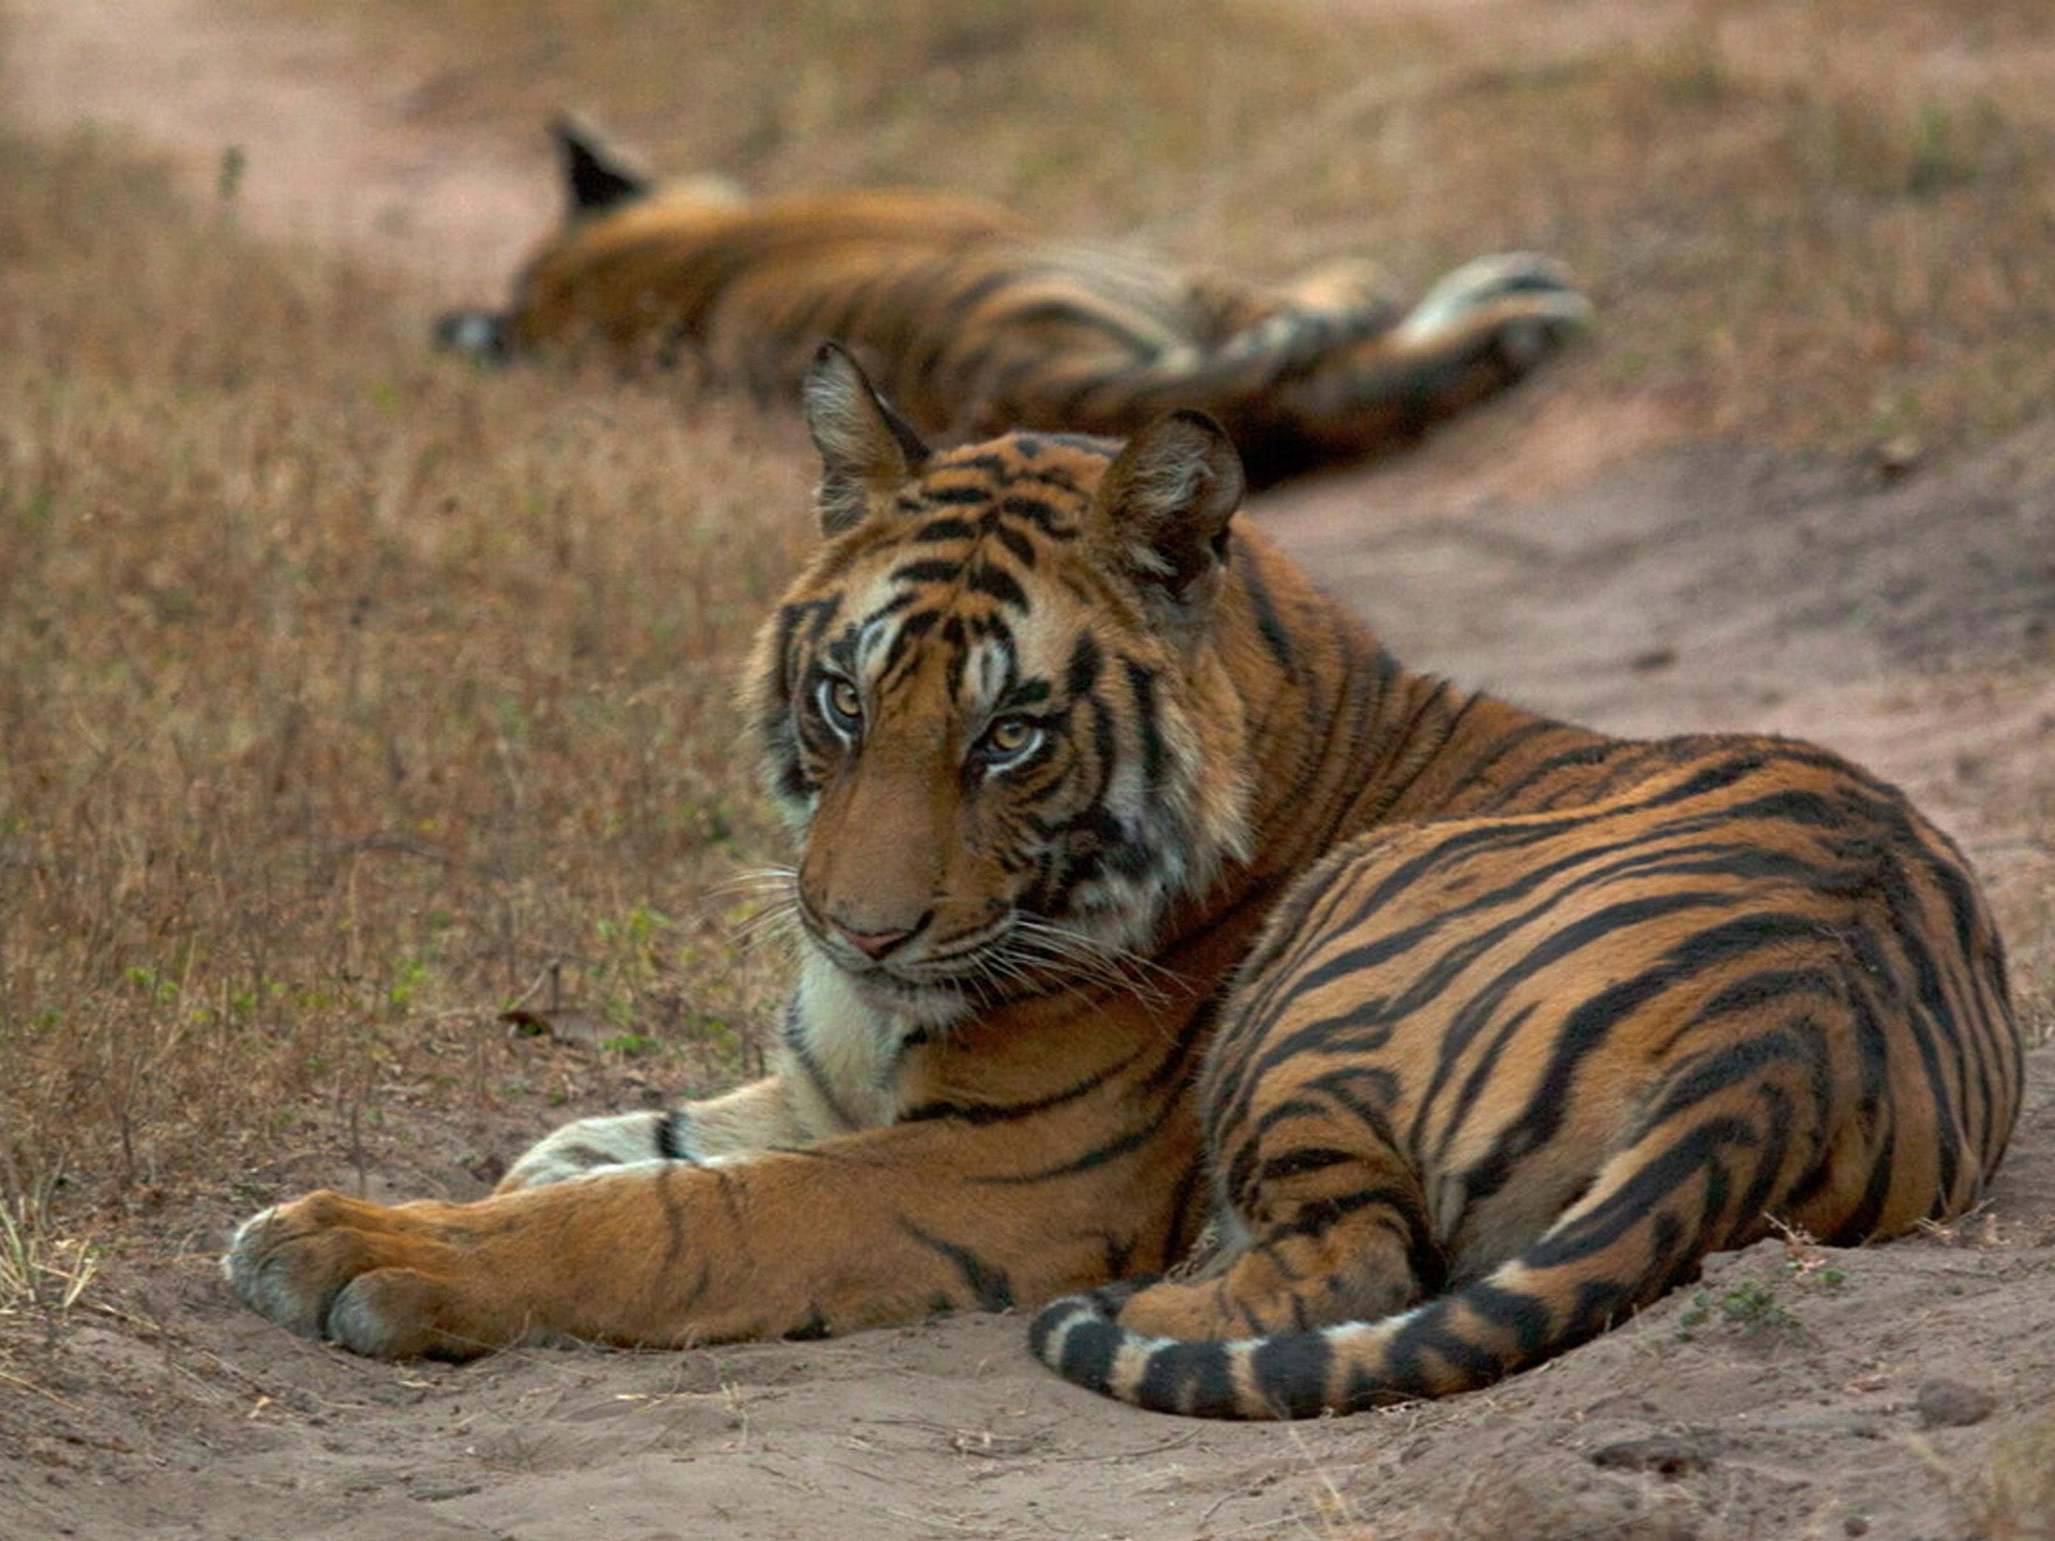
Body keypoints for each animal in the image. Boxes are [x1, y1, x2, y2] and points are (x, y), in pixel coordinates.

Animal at [223, 346, 2022, 1418]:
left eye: (1012, 733)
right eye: (844, 700)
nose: (857, 926)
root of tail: (1784, 1040)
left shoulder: (1000, 1173)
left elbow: (673, 1211)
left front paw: (358, 1253)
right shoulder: (831, 1079)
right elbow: (618, 1138)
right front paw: (500, 1169)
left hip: (1333, 970)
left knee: (1352, 1261)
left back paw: (1152, 1304)